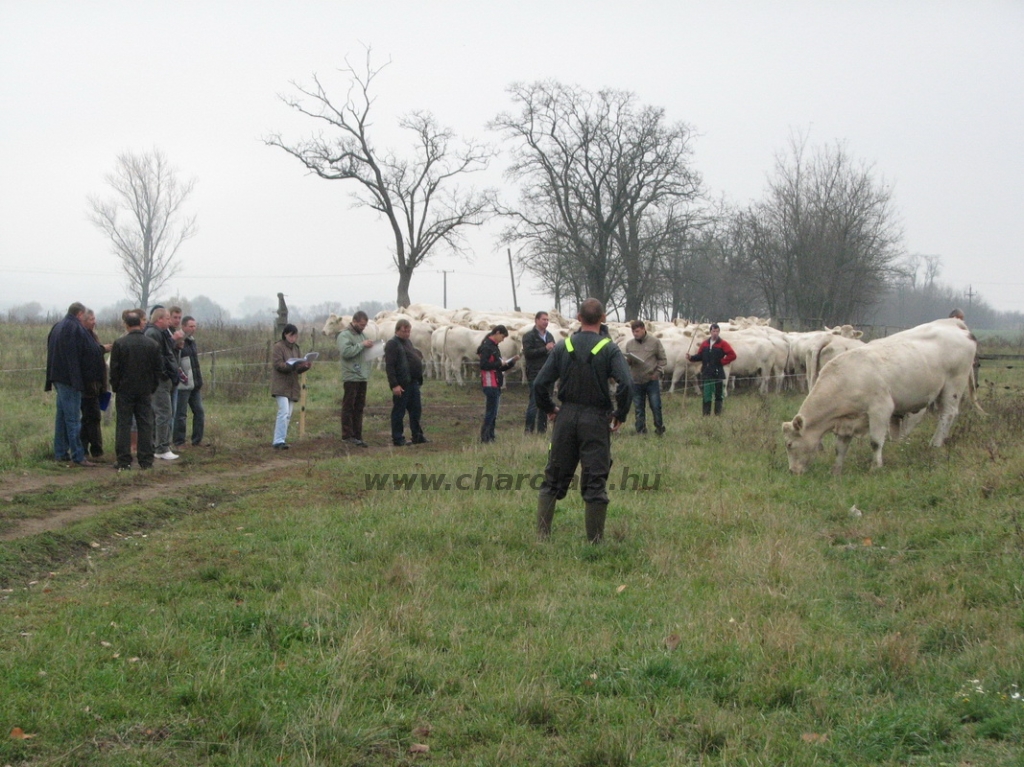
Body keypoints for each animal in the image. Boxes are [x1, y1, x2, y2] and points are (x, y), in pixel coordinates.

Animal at [782, 317, 983, 473]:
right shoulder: (846, 420)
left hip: (953, 385)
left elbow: (876, 442)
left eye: (790, 444)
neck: (847, 376)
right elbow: (840, 448)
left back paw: (935, 444)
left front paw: (876, 467)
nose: (792, 471)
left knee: (947, 414)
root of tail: (952, 323)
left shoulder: (880, 409)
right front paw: (836, 470)